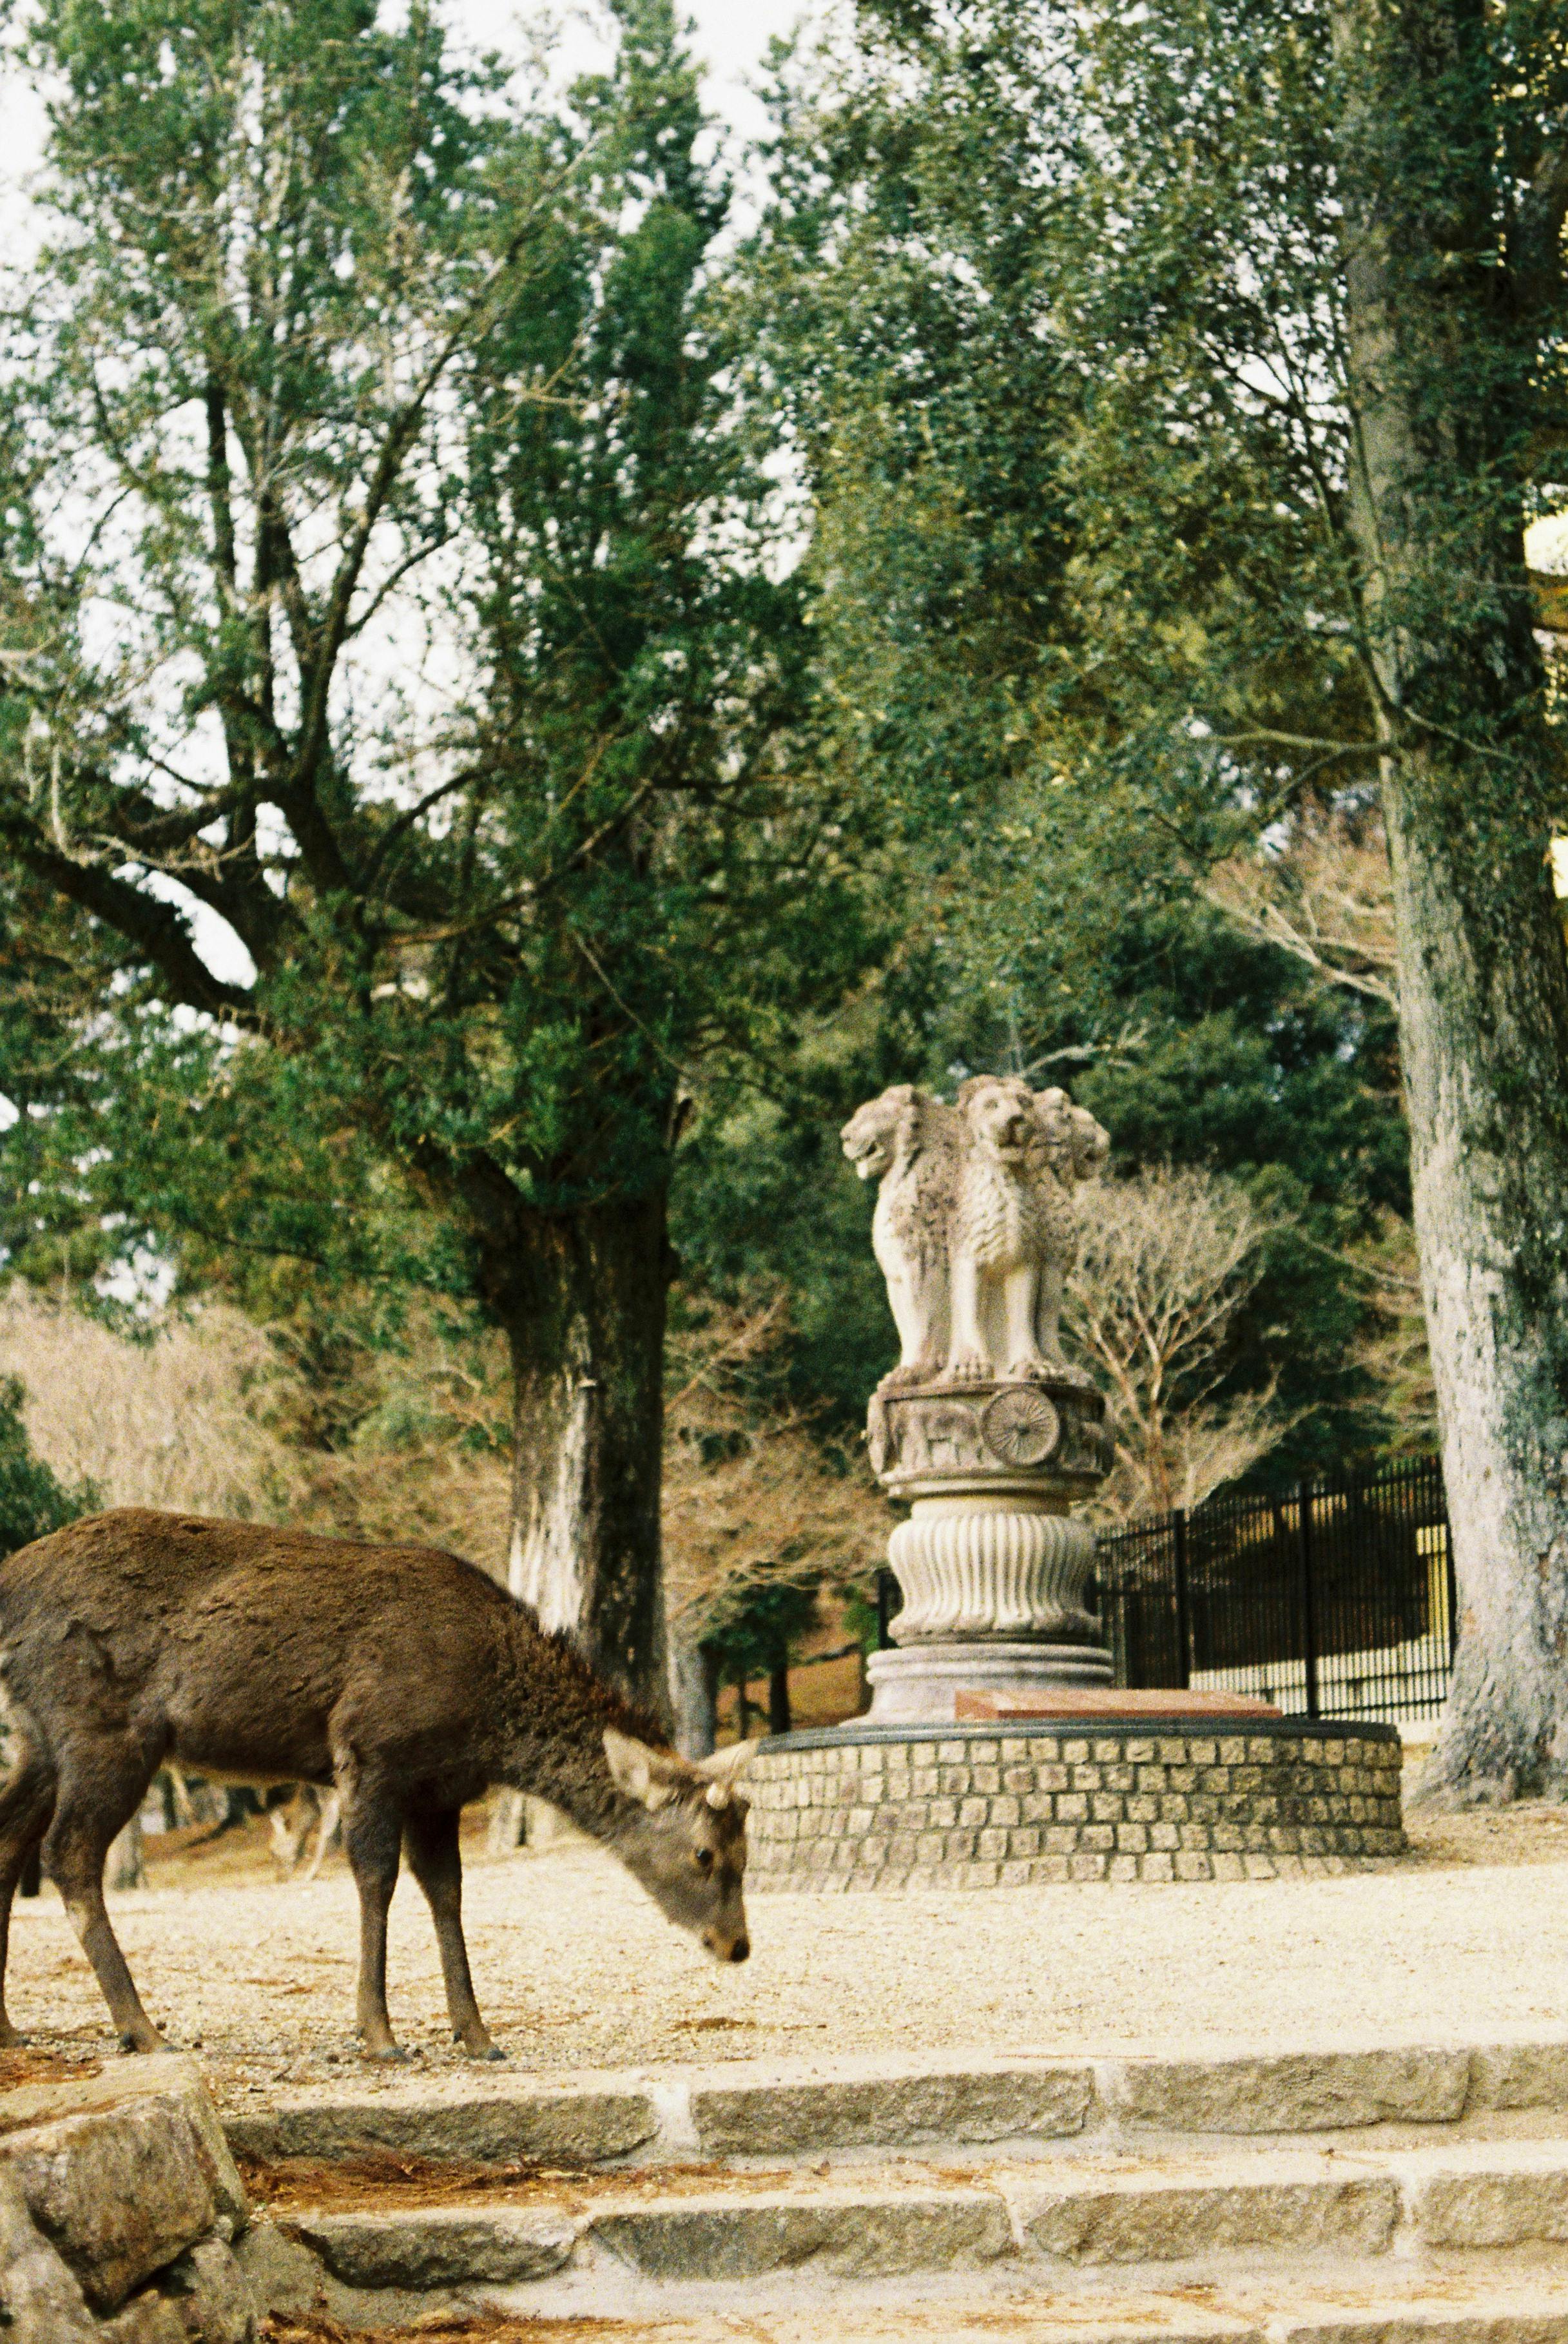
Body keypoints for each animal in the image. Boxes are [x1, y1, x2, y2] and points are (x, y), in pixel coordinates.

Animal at [0, 1509, 758, 2062]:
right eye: (703, 1852)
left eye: (748, 1851)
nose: (737, 1945)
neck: (490, 1721)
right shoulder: (371, 1750)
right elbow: (375, 1878)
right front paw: (380, 2034)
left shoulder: (440, 1790)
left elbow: (447, 1890)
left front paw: (477, 2035)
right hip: (103, 1727)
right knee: (68, 1852)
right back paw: (143, 2027)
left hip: (39, 1738)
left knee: (10, 1843)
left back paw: (11, 2027)